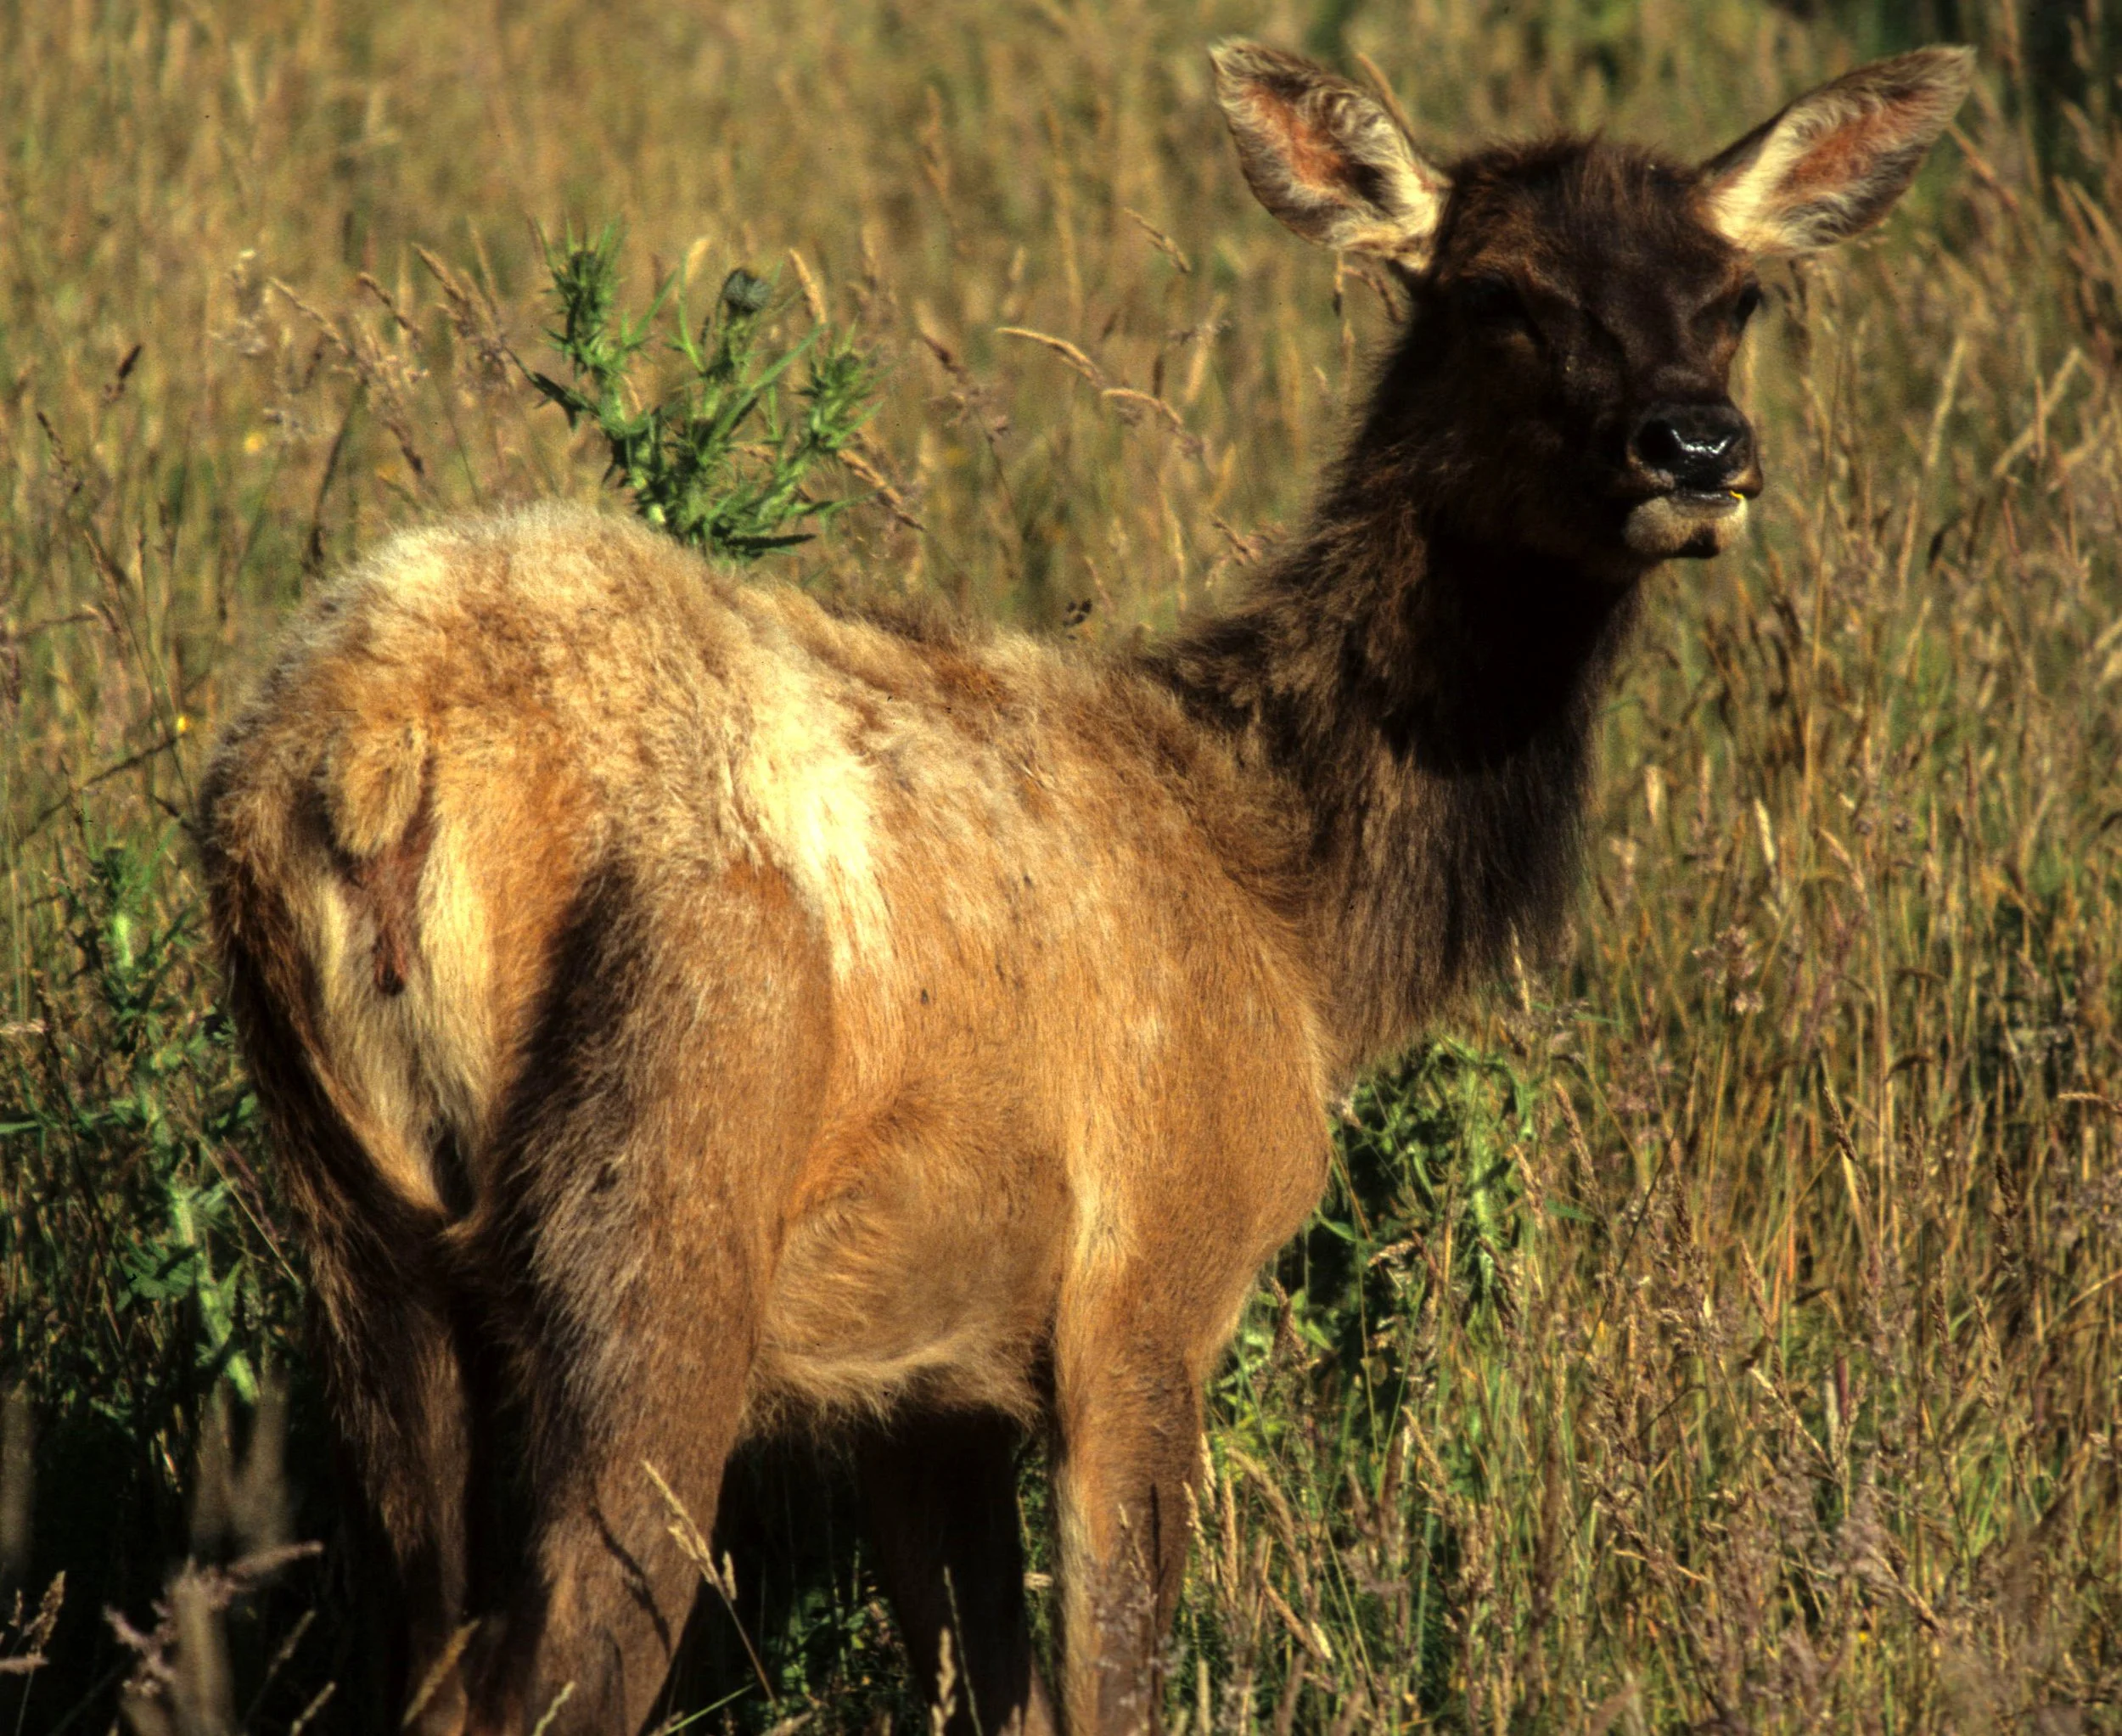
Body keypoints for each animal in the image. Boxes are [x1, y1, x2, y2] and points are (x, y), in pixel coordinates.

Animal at [197, 38, 1972, 1736]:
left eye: (1737, 298)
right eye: (1500, 294)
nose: (1699, 445)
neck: (1293, 909)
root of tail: (370, 758)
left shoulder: (925, 1375)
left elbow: (987, 1689)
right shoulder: (1153, 1273)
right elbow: (1111, 1681)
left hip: (358, 1236)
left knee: (421, 1653)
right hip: (660, 1193)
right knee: (545, 1672)